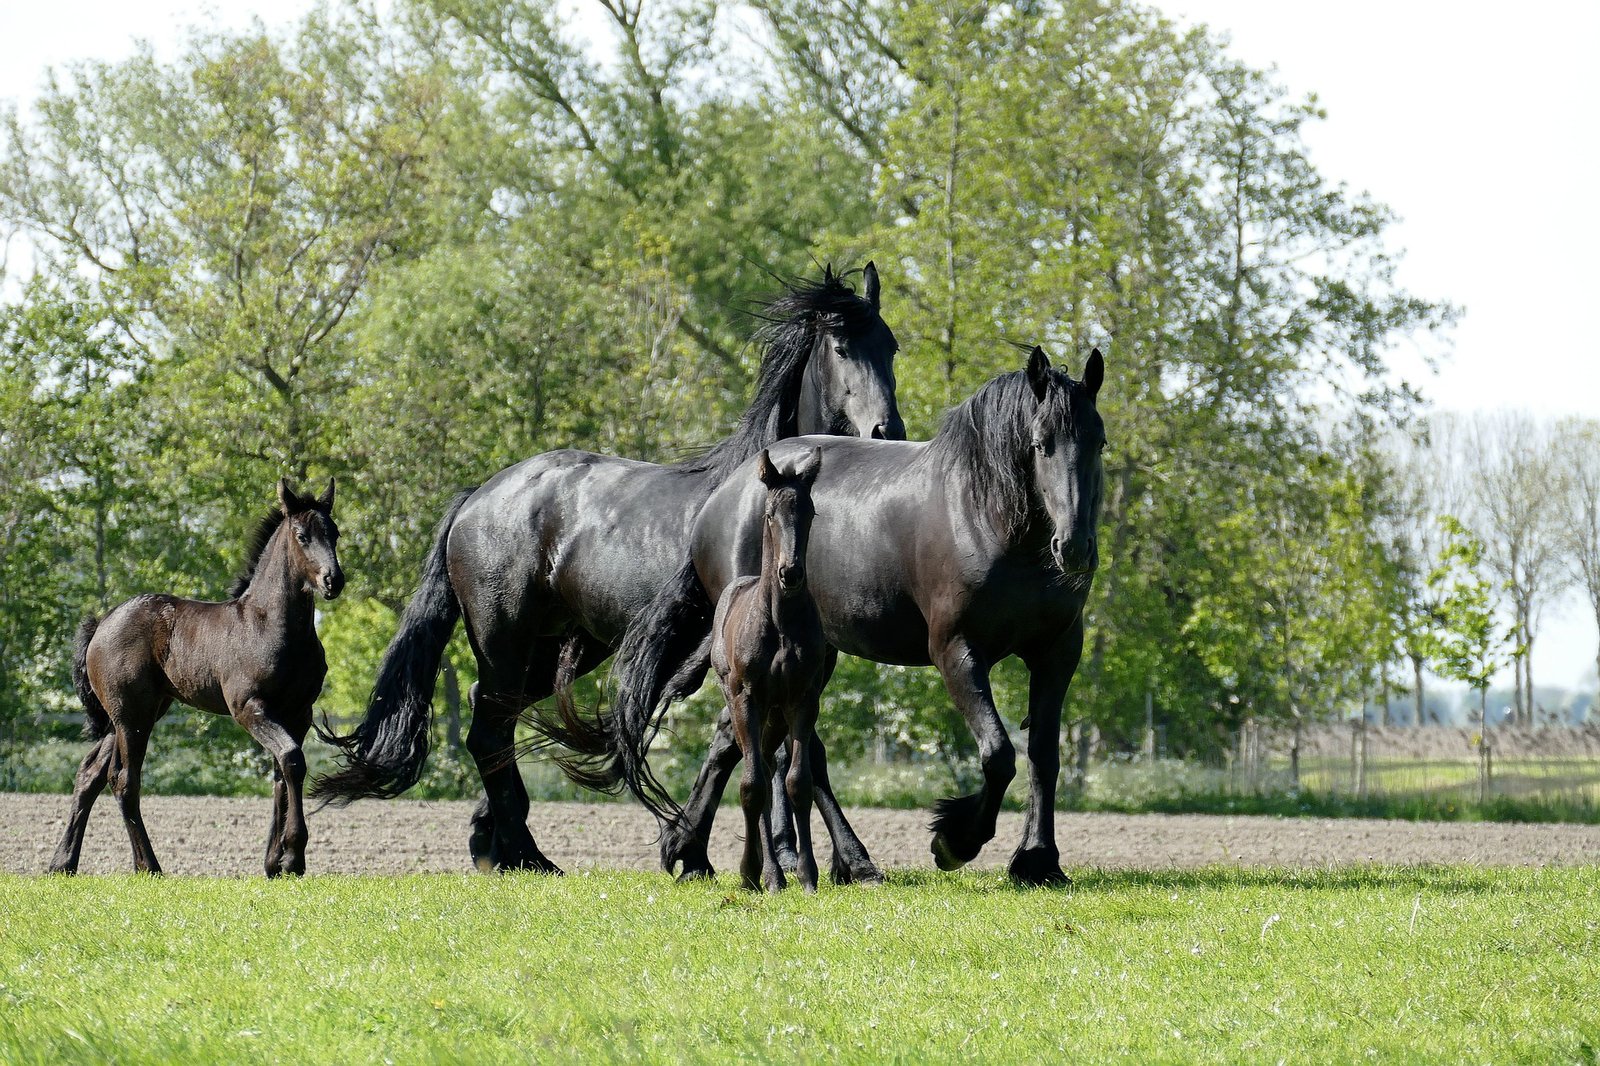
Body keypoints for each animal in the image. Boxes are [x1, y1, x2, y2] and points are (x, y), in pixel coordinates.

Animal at [51, 480, 345, 870]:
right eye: (302, 535)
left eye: (335, 533)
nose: (333, 580)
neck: (271, 625)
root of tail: (102, 624)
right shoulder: (249, 708)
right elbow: (293, 761)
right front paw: (293, 857)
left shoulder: (298, 713)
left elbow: (282, 773)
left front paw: (274, 863)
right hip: (132, 717)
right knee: (124, 781)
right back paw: (149, 866)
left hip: (134, 715)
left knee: (90, 775)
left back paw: (63, 863)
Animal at [713, 444, 825, 889]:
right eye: (770, 514)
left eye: (810, 512)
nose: (790, 573)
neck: (780, 623)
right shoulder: (746, 696)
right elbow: (751, 785)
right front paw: (751, 873)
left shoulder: (803, 699)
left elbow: (798, 782)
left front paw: (808, 876)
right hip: (743, 702)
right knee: (755, 770)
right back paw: (766, 873)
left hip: (775, 715)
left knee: (768, 762)